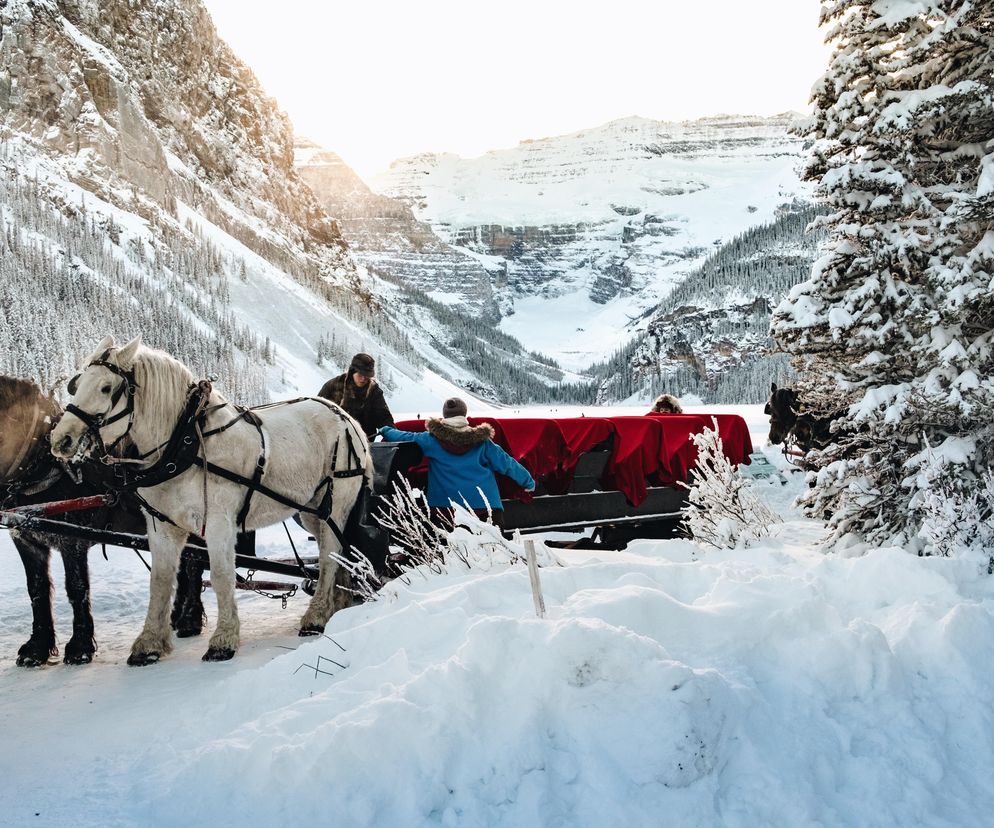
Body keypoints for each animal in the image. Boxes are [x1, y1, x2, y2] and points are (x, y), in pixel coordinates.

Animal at [0, 376, 205, 668]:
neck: (43, 466)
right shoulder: (26, 540)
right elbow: (36, 591)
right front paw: (36, 648)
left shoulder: (72, 539)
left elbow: (76, 588)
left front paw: (79, 647)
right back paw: (176, 617)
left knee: (194, 566)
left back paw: (190, 620)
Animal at [50, 336, 370, 668]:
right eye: (76, 385)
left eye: (106, 388)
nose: (61, 440)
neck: (185, 443)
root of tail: (346, 418)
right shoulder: (162, 526)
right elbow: (160, 580)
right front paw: (148, 644)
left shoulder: (218, 522)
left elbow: (220, 575)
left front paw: (223, 641)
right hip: (312, 511)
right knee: (333, 552)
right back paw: (338, 603)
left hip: (337, 503)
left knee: (329, 555)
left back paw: (316, 616)